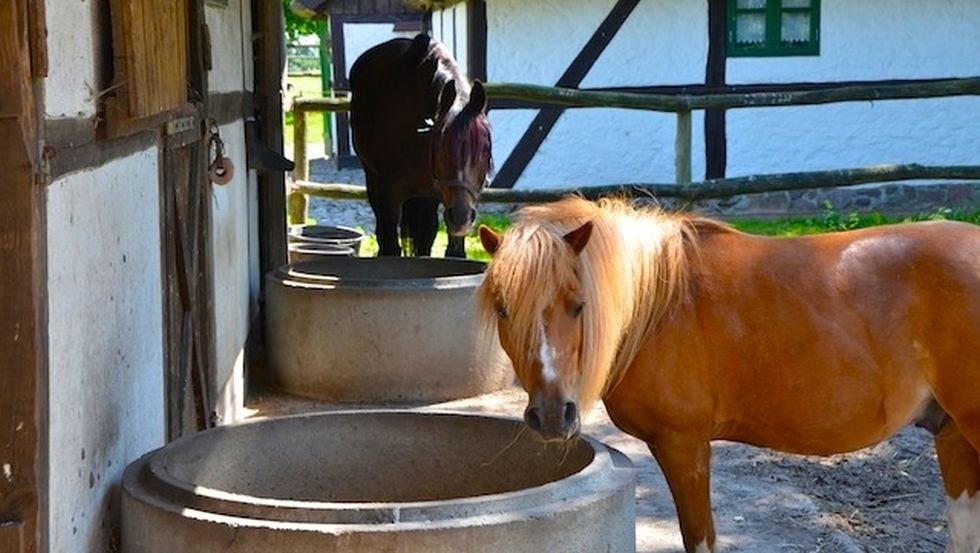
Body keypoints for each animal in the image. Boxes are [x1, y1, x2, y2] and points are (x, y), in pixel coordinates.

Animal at [350, 33, 494, 258]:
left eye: (485, 148)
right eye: (441, 146)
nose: (461, 218)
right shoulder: (389, 193)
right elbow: (390, 247)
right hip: (373, 181)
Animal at [478, 196, 980, 548]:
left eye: (578, 305)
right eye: (503, 309)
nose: (552, 415)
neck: (657, 303)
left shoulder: (684, 444)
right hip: (953, 435)